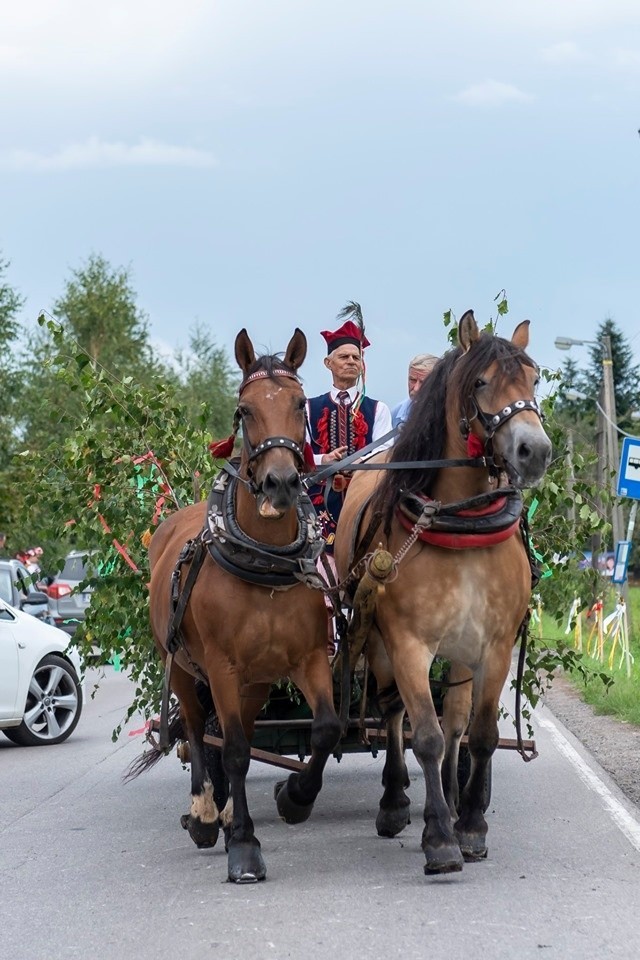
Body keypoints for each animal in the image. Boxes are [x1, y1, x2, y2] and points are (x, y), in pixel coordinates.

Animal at [142, 330, 340, 884]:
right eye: (244, 410)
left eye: (299, 403)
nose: (281, 483)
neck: (264, 561)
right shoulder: (223, 667)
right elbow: (227, 750)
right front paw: (245, 847)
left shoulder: (308, 659)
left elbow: (325, 729)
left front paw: (295, 797)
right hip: (182, 666)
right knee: (197, 731)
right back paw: (207, 814)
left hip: (254, 681)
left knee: (246, 735)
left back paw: (229, 813)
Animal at [332, 314, 552, 876]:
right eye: (481, 382)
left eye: (533, 379)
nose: (534, 451)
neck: (462, 524)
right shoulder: (409, 643)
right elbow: (424, 736)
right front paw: (438, 838)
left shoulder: (493, 647)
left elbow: (478, 733)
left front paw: (470, 824)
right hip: (379, 641)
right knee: (392, 713)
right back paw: (395, 801)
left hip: (460, 652)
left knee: (454, 722)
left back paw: (453, 798)